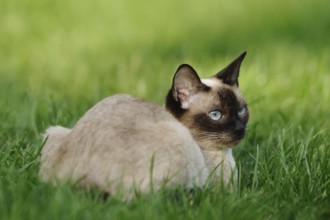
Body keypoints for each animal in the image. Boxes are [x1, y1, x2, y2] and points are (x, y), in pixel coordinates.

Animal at [39, 52, 248, 199]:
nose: (239, 130)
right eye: (216, 115)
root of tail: (72, 184)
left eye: (241, 111)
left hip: (54, 131)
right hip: (178, 139)